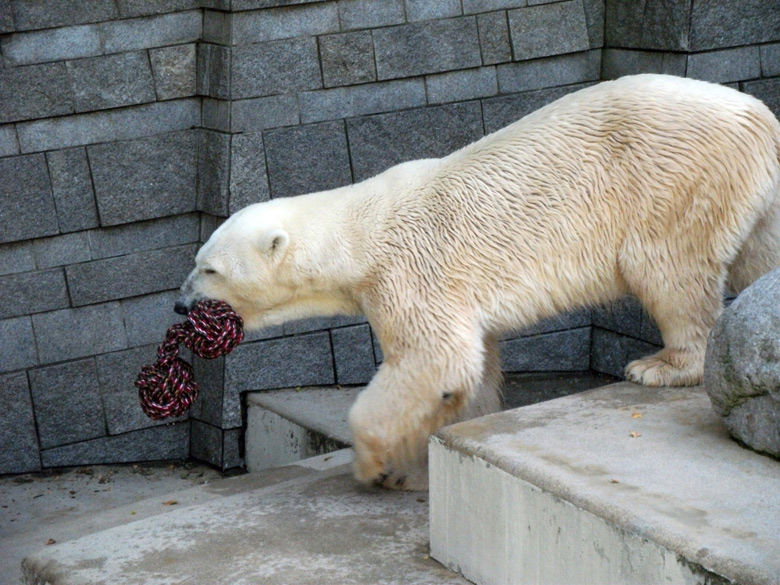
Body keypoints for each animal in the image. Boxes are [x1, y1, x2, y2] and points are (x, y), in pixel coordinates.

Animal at [177, 75, 780, 490]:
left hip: (673, 178)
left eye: (210, 268)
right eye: (197, 259)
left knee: (669, 270)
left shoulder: (410, 272)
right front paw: (433, 442)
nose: (181, 305)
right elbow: (473, 366)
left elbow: (433, 356)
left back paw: (661, 365)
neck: (359, 232)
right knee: (759, 252)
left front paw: (374, 465)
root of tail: (759, 114)